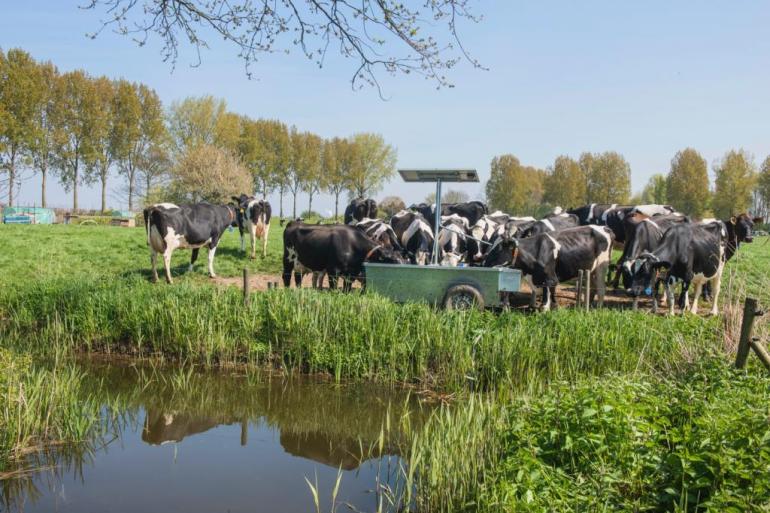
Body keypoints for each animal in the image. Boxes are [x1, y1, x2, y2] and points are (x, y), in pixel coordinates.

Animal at [480, 226, 612, 310]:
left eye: (499, 249)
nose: (484, 264)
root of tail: (605, 228)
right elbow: (547, 290)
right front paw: (550, 306)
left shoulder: (549, 275)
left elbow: (547, 288)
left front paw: (545, 307)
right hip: (592, 269)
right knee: (593, 287)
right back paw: (586, 305)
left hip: (602, 267)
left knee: (601, 288)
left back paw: (598, 308)